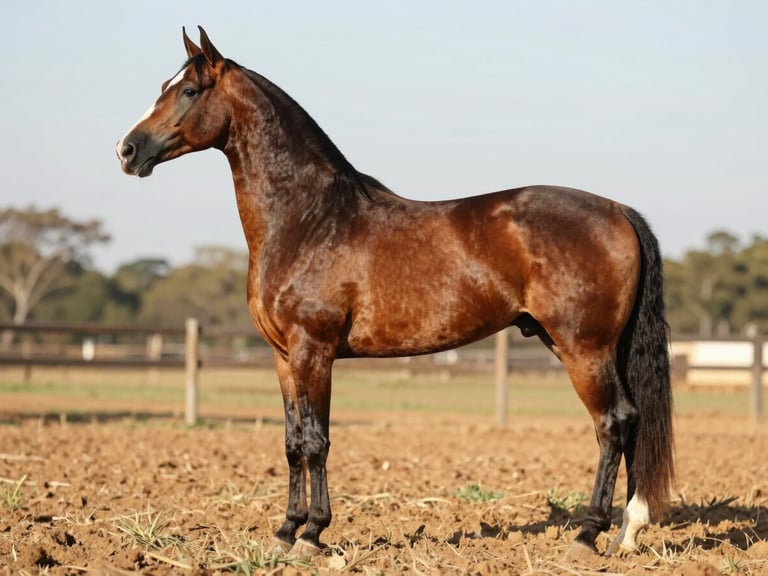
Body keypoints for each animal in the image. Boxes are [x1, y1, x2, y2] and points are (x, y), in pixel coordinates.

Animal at [117, 27, 674, 560]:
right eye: (164, 86)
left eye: (188, 90)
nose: (127, 150)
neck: (310, 219)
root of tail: (618, 211)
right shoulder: (283, 356)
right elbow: (293, 443)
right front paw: (285, 531)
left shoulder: (314, 351)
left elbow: (316, 442)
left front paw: (312, 535)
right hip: (580, 346)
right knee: (631, 422)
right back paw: (627, 533)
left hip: (585, 349)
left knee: (613, 423)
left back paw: (589, 534)